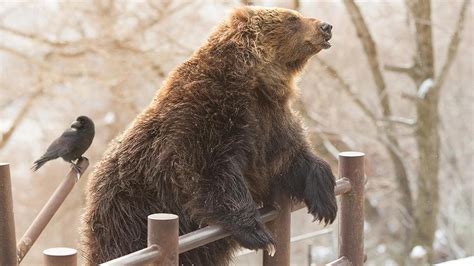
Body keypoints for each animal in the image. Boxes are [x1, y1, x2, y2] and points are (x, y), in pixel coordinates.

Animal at [79, 6, 336, 266]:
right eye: (292, 19)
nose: (326, 26)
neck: (255, 81)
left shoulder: (269, 121)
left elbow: (288, 156)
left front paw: (326, 201)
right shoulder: (206, 118)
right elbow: (211, 173)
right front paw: (259, 234)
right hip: (129, 213)